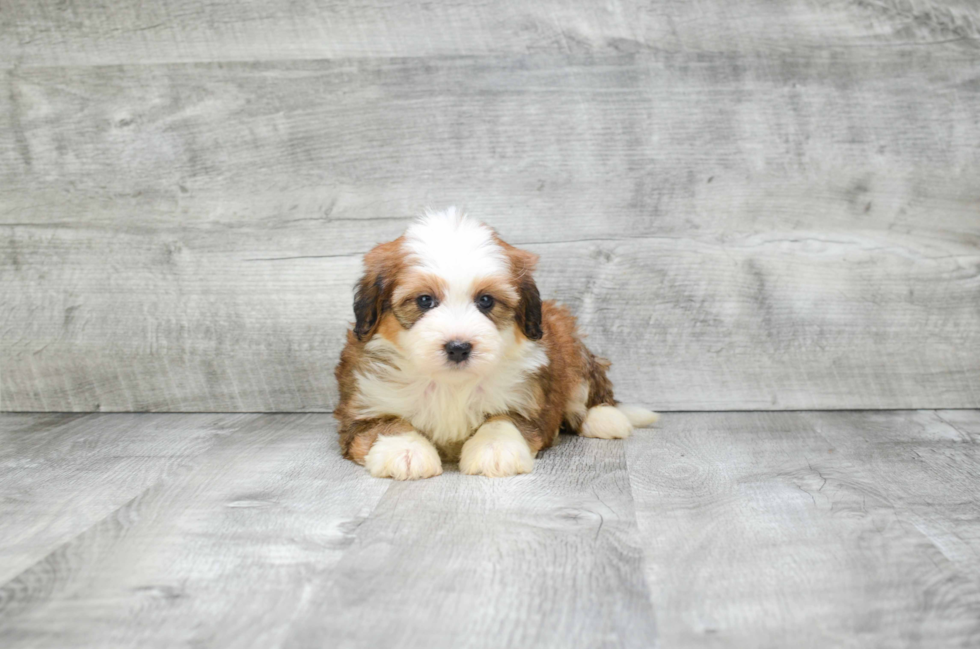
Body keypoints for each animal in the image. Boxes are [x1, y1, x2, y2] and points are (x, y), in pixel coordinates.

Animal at [334, 208, 660, 476]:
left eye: (486, 301)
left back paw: (605, 418)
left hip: (571, 346)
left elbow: (503, 420)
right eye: (425, 300)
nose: (458, 348)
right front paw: (405, 450)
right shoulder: (364, 406)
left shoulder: (526, 402)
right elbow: (385, 424)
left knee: (590, 390)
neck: (451, 384)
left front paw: (495, 449)